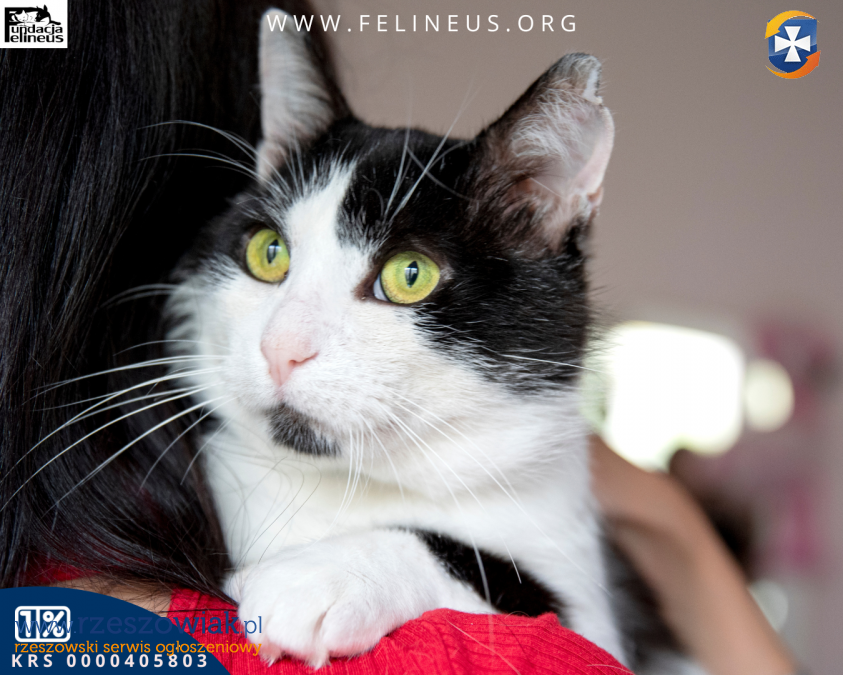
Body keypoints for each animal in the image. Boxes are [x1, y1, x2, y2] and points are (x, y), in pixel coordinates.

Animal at [165, 8, 689, 672]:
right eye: (268, 252)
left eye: (409, 275)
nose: (281, 347)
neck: (346, 486)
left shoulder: (588, 598)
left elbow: (497, 576)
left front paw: (320, 578)